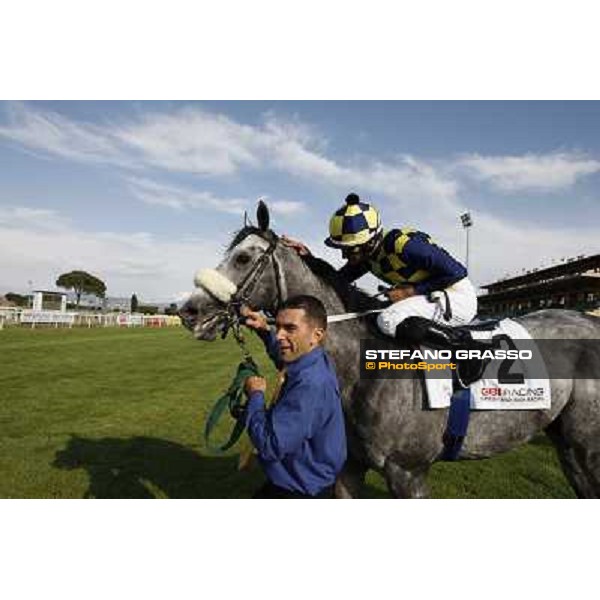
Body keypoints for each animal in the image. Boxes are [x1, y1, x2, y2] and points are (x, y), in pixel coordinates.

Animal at [180, 205, 600, 496]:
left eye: (243, 257)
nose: (188, 311)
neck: (365, 371)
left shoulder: (408, 473)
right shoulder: (349, 468)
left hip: (584, 447)